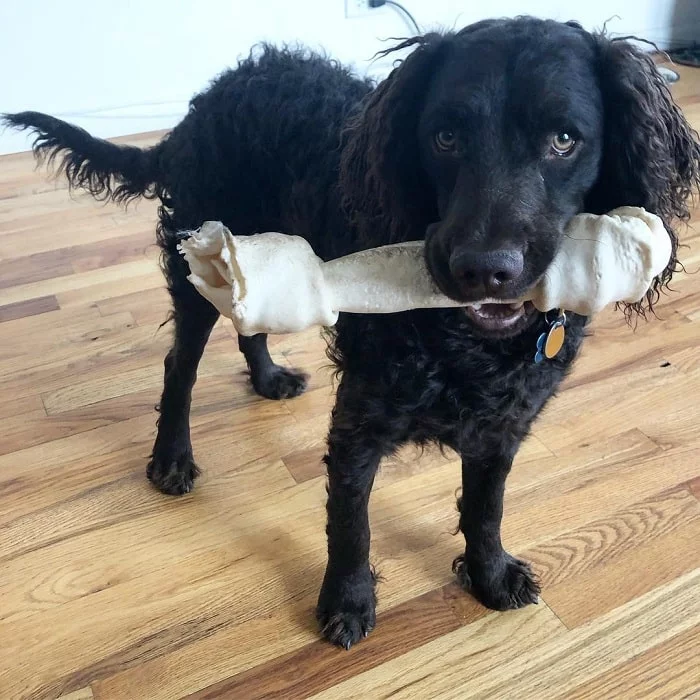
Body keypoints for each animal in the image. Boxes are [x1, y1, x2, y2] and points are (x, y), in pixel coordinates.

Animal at [4, 17, 696, 652]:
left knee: (253, 325)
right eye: (445, 136)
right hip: (198, 269)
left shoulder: (504, 425)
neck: (466, 345)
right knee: (181, 368)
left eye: (564, 139)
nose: (484, 268)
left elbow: (486, 509)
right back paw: (171, 458)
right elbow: (350, 522)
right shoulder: (360, 423)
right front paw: (348, 602)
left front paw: (490, 575)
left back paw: (268, 378)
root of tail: (211, 97)